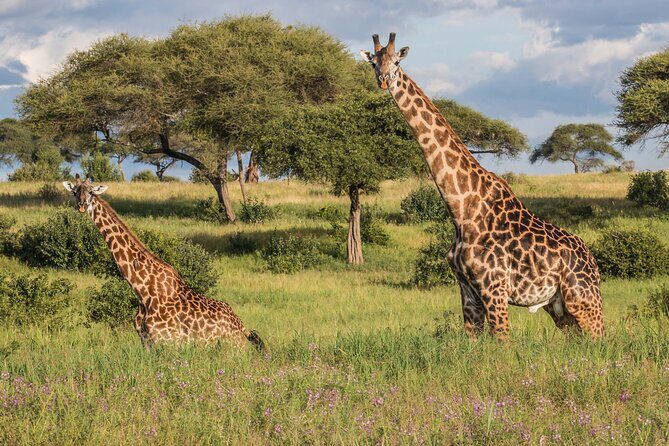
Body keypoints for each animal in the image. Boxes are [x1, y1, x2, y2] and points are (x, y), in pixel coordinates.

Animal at [63, 176, 265, 350]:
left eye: (91, 191)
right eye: (74, 191)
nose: (81, 205)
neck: (143, 292)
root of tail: (241, 326)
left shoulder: (167, 342)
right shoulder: (146, 342)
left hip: (232, 347)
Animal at [361, 33, 604, 339]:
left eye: (396, 62)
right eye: (373, 63)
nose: (383, 80)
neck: (461, 209)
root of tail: (593, 261)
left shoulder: (494, 288)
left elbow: (503, 342)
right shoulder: (467, 289)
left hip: (583, 301)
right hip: (559, 308)